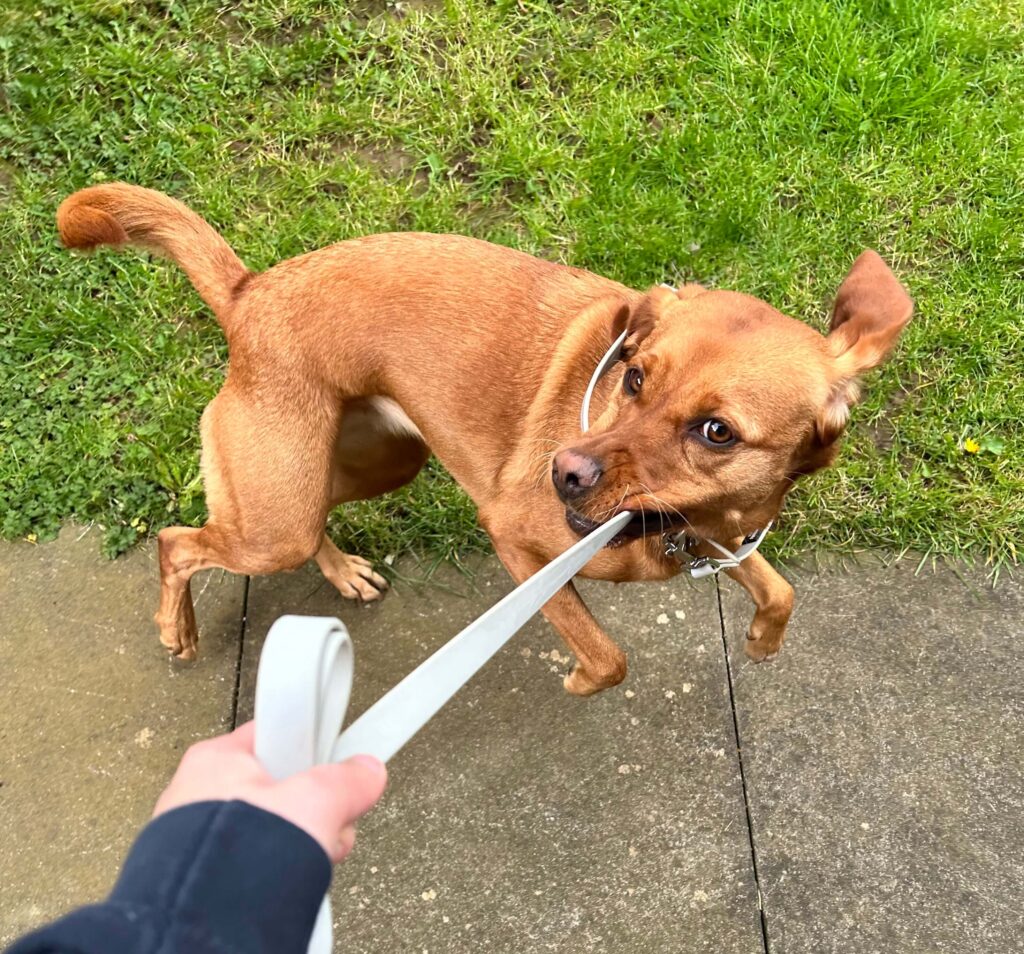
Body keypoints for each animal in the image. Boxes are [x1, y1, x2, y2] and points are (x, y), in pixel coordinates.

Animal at [54, 184, 913, 691]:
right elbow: (605, 653)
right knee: (177, 541)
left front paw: (763, 641)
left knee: (302, 522)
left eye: (717, 432)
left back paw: (344, 574)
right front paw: (580, 677)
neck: (677, 527)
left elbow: (780, 588)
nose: (564, 473)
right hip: (275, 515)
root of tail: (248, 292)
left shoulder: (724, 537)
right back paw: (178, 629)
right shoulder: (519, 545)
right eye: (634, 376)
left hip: (368, 467)